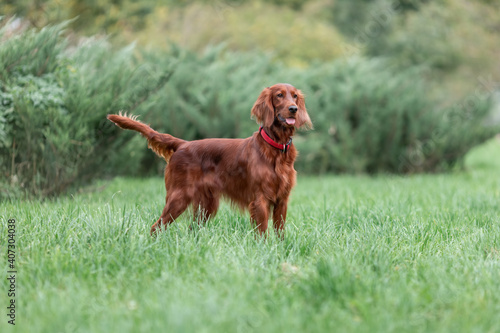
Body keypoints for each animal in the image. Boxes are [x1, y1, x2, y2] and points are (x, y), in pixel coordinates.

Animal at [108, 83, 312, 236]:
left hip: (206, 205)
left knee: (191, 229)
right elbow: (262, 231)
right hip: (179, 197)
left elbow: (280, 231)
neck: (276, 148)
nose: (293, 109)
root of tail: (182, 144)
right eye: (279, 95)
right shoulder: (260, 199)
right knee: (156, 226)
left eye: (294, 96)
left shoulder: (282, 200)